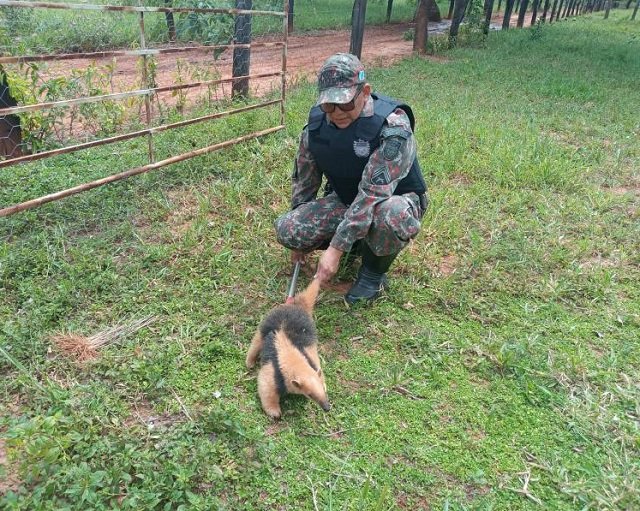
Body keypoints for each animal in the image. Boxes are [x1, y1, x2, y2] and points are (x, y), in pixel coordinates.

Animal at [246, 278, 330, 419]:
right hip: (267, 323)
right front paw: (275, 413)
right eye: (310, 394)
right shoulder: (274, 371)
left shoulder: (311, 359)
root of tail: (296, 306)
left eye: (322, 390)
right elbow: (266, 387)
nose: (327, 408)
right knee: (256, 342)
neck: (293, 357)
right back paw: (250, 362)